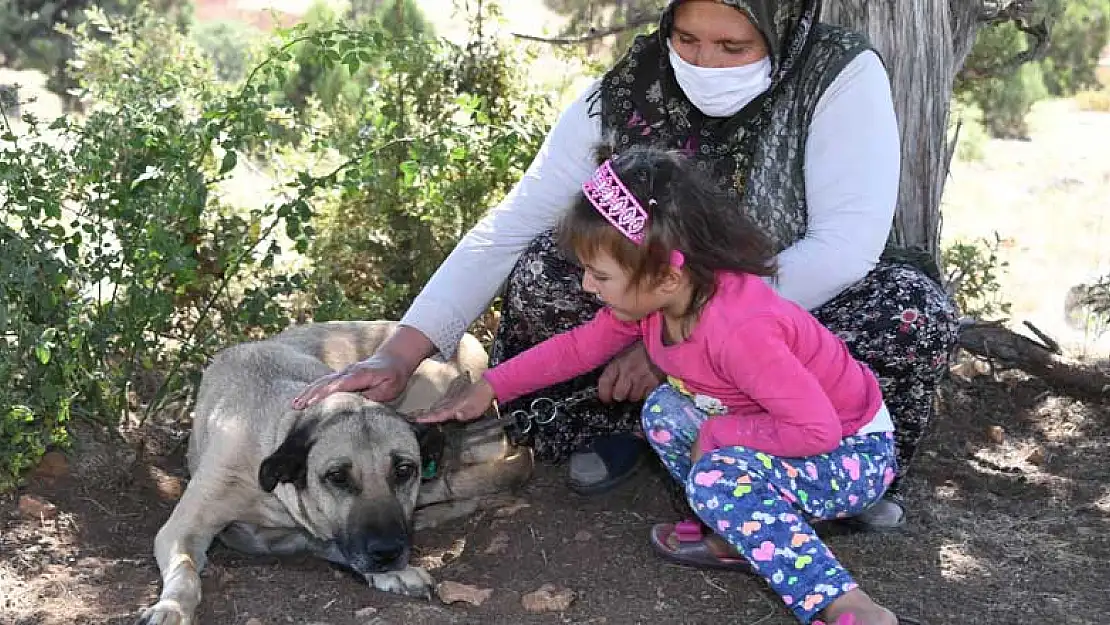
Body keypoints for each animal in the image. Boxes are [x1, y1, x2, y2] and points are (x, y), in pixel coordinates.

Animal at [136, 321, 535, 625]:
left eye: (404, 470)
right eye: (338, 477)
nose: (388, 553)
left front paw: (394, 572)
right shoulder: (185, 529)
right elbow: (185, 570)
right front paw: (171, 608)